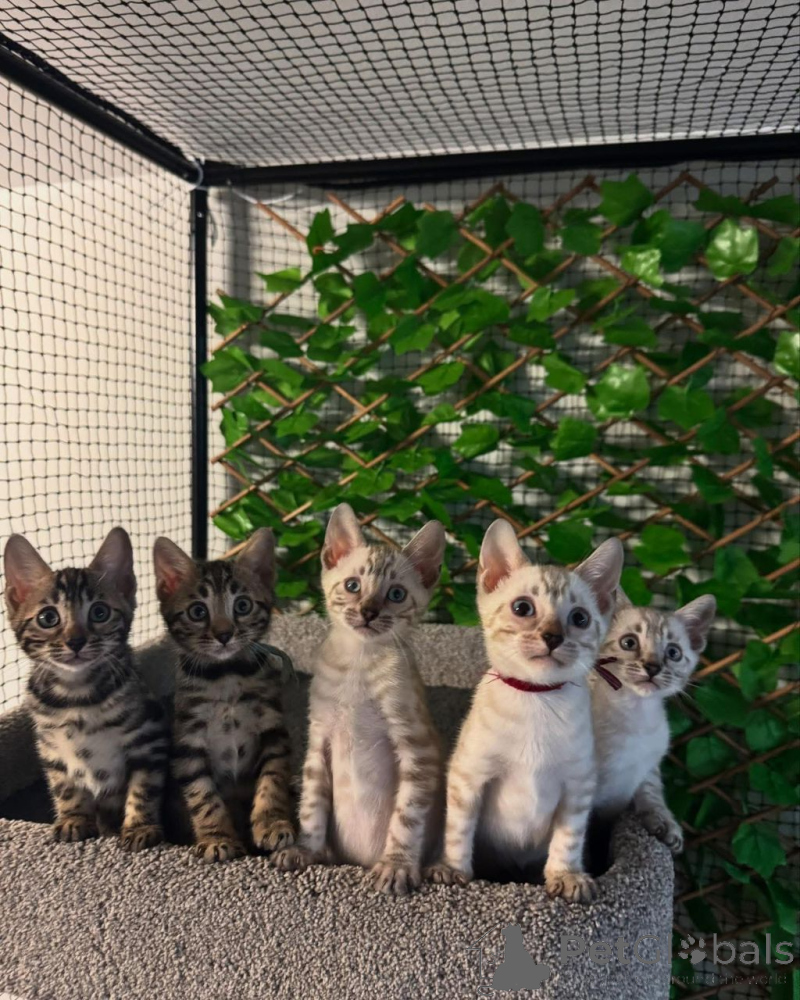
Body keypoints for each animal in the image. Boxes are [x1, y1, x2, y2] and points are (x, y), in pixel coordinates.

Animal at [3, 527, 167, 850]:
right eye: (48, 618)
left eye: (100, 613)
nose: (76, 641)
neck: (76, 694)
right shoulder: (51, 748)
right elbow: (65, 788)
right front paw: (73, 819)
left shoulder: (148, 738)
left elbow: (143, 787)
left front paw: (139, 827)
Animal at [153, 527, 295, 863]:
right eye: (197, 611)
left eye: (242, 606)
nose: (224, 634)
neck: (227, 675)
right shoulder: (187, 743)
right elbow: (202, 796)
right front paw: (217, 837)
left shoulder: (273, 730)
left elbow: (273, 779)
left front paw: (272, 823)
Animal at [273, 503, 444, 896]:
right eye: (353, 586)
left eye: (396, 594)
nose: (368, 611)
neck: (359, 663)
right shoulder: (319, 739)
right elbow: (312, 806)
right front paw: (306, 851)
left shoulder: (418, 749)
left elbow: (407, 816)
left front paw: (396, 866)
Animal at [426, 520, 623, 903]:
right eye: (522, 608)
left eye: (579, 618)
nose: (553, 637)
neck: (537, 700)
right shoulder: (469, 776)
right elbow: (459, 830)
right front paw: (453, 870)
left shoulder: (577, 786)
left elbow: (569, 838)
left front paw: (566, 876)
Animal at [591, 590, 716, 855]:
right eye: (629, 642)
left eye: (673, 653)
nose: (653, 667)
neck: (636, 714)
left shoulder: (648, 765)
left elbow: (652, 793)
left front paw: (664, 823)